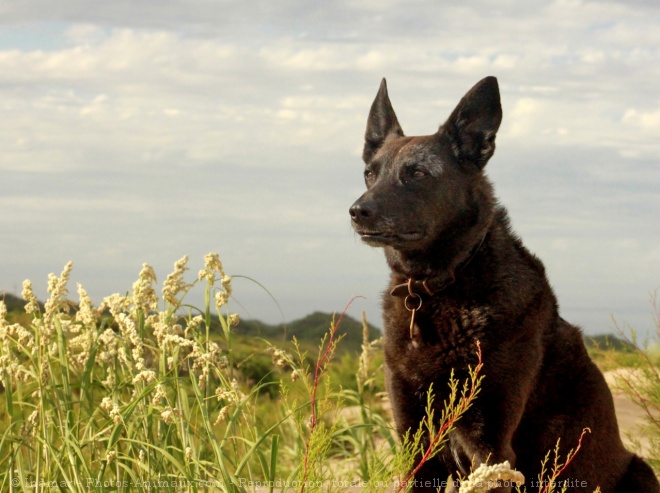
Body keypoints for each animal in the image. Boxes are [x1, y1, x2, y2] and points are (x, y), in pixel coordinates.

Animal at [348, 77, 656, 492]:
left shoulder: (490, 445)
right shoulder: (415, 441)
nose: (357, 211)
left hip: (640, 471)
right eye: (370, 173)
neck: (442, 284)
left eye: (418, 174)